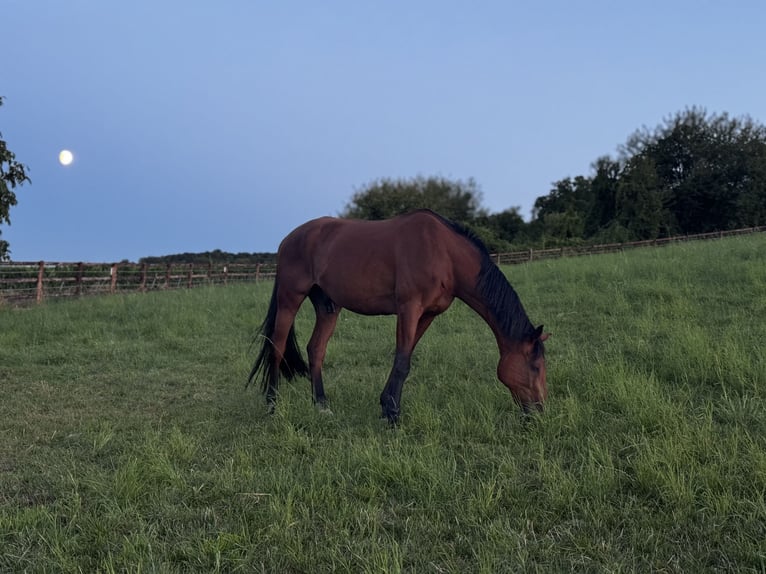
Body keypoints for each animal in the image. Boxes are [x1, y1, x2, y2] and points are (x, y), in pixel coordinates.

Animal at [249, 212, 548, 424]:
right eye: (536, 367)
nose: (539, 411)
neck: (444, 253)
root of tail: (287, 240)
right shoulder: (409, 308)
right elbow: (403, 361)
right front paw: (393, 415)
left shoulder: (427, 314)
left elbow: (404, 358)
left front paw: (386, 407)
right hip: (290, 297)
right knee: (276, 346)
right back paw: (272, 405)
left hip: (327, 306)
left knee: (316, 349)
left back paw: (321, 405)